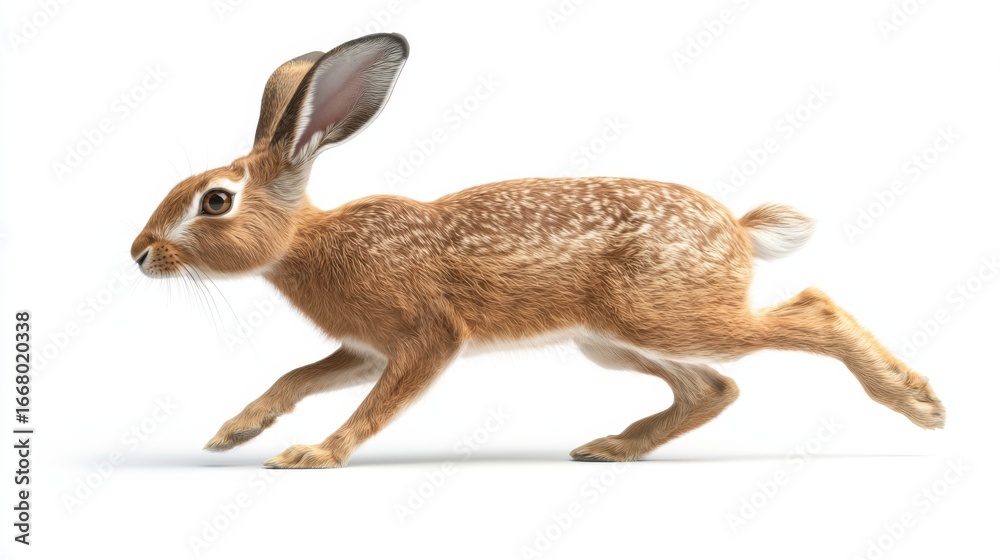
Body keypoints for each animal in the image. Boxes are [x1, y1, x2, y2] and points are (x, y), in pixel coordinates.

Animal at [131, 33, 944, 469]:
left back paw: (919, 405)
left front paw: (314, 456)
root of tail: (738, 230)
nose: (139, 253)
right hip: (611, 343)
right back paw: (610, 448)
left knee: (811, 312)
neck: (309, 238)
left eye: (214, 200)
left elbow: (375, 405)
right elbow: (295, 377)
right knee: (713, 388)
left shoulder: (427, 338)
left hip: (666, 316)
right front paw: (236, 432)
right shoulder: (364, 348)